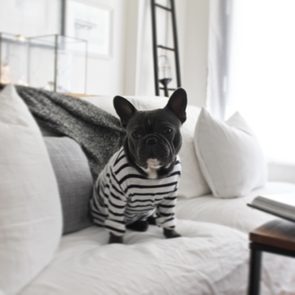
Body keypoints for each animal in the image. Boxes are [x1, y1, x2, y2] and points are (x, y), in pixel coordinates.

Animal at [90, 88, 187, 245]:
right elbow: (116, 223)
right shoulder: (117, 198)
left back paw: (152, 220)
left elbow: (168, 218)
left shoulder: (169, 197)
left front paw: (172, 235)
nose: (151, 140)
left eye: (168, 131)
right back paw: (141, 224)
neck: (152, 170)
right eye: (136, 134)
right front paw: (115, 243)